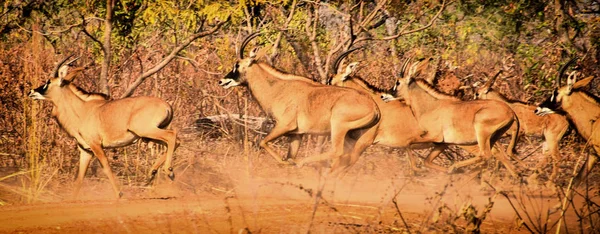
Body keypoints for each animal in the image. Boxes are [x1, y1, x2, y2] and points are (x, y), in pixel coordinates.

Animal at [29, 55, 177, 198]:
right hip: (148, 135)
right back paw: (152, 173)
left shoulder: (96, 145)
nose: (31, 92)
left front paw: (119, 194)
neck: (82, 110)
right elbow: (80, 178)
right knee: (175, 141)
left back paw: (168, 171)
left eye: (48, 82)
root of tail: (167, 105)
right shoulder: (86, 151)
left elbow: (106, 167)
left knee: (172, 136)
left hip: (146, 131)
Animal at [219, 33, 380, 172]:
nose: (222, 81)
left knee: (337, 151)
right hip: (354, 136)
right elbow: (289, 154)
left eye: (237, 65)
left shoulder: (284, 125)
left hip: (338, 126)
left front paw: (286, 162)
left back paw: (302, 163)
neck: (278, 89)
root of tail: (375, 107)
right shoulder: (296, 134)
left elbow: (263, 142)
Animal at [384, 58, 520, 177]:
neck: (430, 106)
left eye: (398, 82)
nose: (383, 96)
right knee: (500, 157)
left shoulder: (434, 136)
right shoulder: (443, 143)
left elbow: (408, 142)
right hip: (492, 138)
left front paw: (418, 169)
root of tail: (511, 112)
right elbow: (427, 160)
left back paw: (454, 167)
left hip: (481, 133)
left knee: (485, 155)